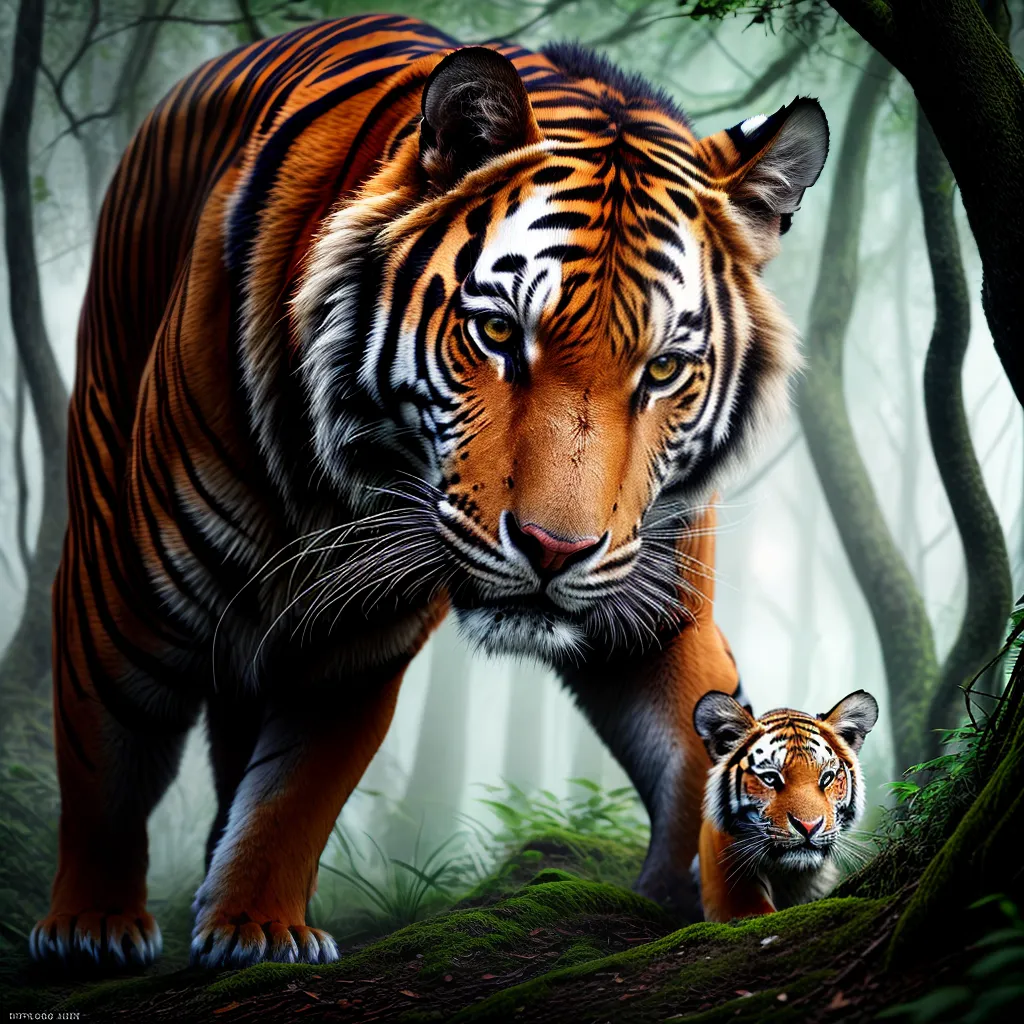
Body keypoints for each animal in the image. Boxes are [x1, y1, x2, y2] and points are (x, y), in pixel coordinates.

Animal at [29, 15, 829, 969]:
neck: (338, 489)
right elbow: (107, 758)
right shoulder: (125, 594)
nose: (556, 550)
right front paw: (94, 927)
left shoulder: (358, 636)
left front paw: (255, 925)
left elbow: (296, 788)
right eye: (498, 333)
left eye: (664, 369)